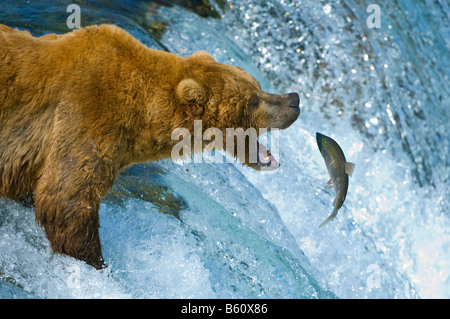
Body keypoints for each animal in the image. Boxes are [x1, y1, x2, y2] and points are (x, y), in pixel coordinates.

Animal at [1, 24, 300, 270]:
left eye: (259, 87)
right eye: (253, 100)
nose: (293, 99)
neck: (142, 116)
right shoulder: (87, 112)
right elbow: (66, 196)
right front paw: (97, 264)